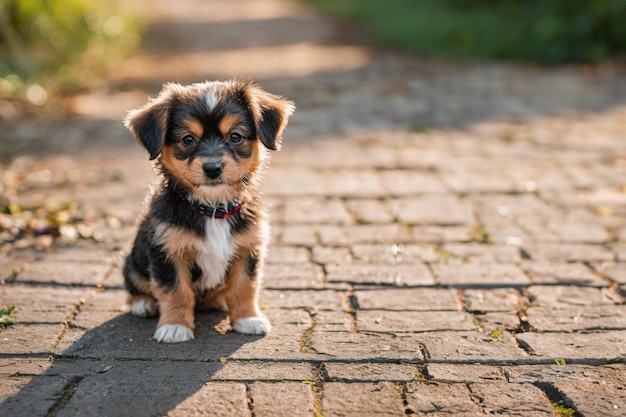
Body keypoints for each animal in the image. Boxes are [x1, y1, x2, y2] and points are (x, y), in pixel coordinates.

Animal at [124, 79, 294, 342]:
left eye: (235, 137)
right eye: (188, 140)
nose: (213, 169)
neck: (213, 209)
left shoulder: (248, 248)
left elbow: (245, 287)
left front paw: (248, 318)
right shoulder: (167, 252)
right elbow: (175, 290)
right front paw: (175, 326)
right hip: (133, 263)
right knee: (135, 289)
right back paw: (143, 303)